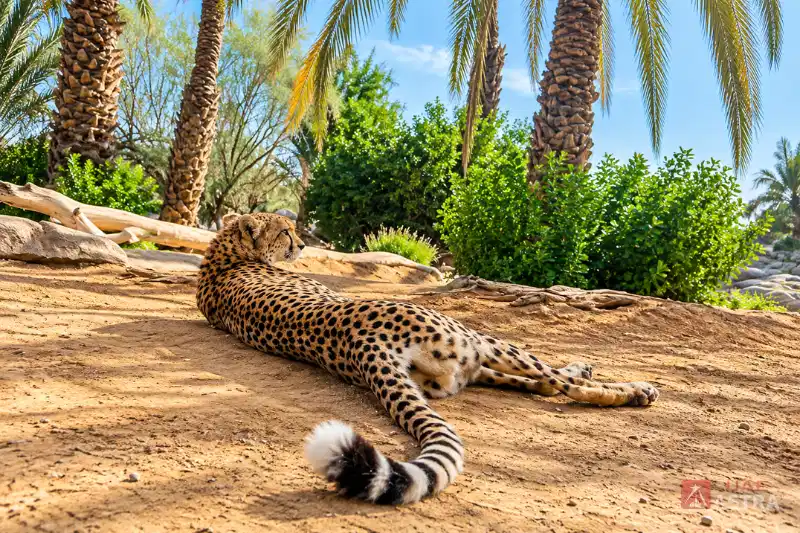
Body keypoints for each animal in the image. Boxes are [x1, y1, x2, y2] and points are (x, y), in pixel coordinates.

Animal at [196, 212, 659, 505]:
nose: (302, 243)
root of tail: (361, 344)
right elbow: (559, 380)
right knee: (562, 384)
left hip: (457, 368)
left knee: (542, 383)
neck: (225, 252)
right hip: (478, 340)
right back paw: (634, 390)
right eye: (285, 232)